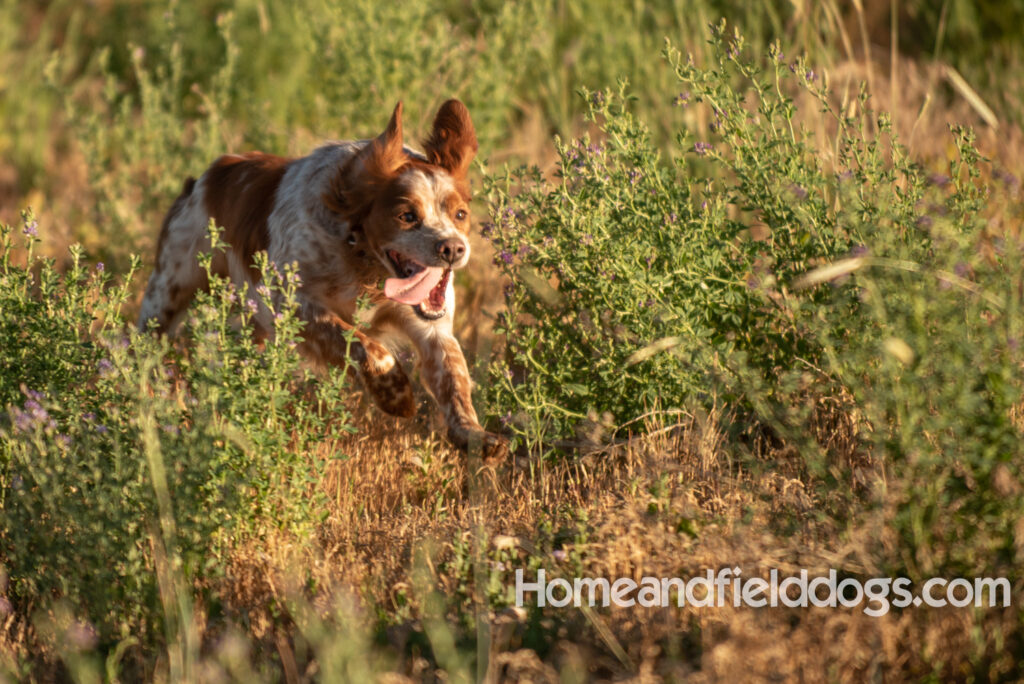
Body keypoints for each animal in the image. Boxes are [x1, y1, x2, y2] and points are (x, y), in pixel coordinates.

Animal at [140, 98, 507, 458]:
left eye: (460, 214)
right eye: (406, 216)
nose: (453, 249)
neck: (362, 259)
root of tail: (210, 174)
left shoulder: (433, 327)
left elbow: (454, 377)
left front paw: (473, 434)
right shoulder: (294, 304)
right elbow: (365, 345)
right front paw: (397, 395)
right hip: (169, 290)